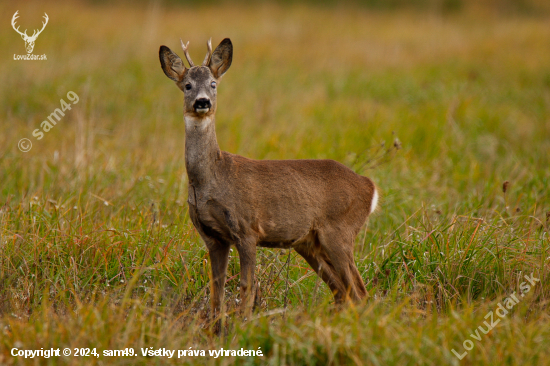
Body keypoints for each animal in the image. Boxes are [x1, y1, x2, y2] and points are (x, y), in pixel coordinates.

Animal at [157, 37, 378, 324]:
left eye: (213, 84)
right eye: (187, 85)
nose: (202, 102)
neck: (212, 178)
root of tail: (370, 187)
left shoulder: (247, 229)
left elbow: (246, 288)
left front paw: (241, 326)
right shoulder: (213, 237)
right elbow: (217, 292)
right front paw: (216, 327)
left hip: (339, 231)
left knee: (359, 292)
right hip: (310, 243)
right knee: (343, 292)